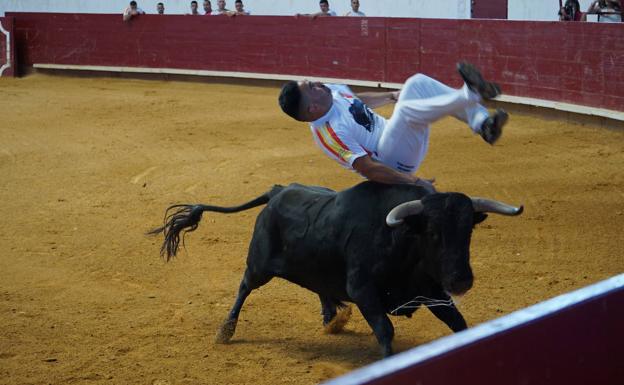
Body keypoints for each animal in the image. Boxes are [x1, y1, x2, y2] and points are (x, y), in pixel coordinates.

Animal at [150, 182, 520, 356]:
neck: (399, 237)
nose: (461, 280)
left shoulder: (432, 292)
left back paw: (332, 319)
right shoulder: (364, 291)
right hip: (259, 265)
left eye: (468, 230)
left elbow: (459, 325)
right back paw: (226, 330)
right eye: (432, 232)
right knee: (244, 287)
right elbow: (385, 331)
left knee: (319, 286)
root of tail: (278, 190)